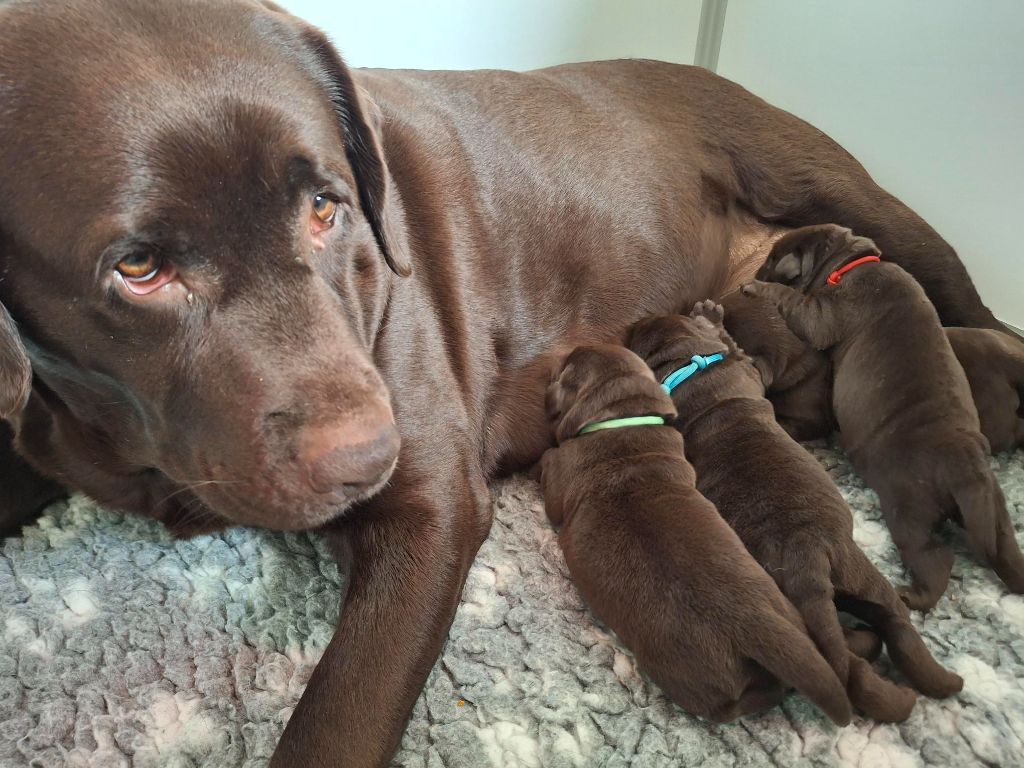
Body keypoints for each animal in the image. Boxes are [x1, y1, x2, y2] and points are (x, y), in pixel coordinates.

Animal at [540, 346, 851, 724]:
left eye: (565, 368)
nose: (558, 357)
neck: (624, 421)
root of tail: (753, 623)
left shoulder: (561, 478)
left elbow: (549, 464)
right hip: (786, 612)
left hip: (692, 681)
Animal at [622, 303, 958, 720]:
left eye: (645, 329)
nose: (633, 323)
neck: (685, 370)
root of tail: (804, 553)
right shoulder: (747, 370)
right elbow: (739, 351)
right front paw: (711, 316)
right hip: (855, 571)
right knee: (890, 630)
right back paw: (934, 686)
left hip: (828, 593)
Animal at [745, 225, 1024, 610]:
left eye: (772, 260)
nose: (756, 272)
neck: (851, 264)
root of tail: (967, 469)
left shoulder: (821, 315)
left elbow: (792, 299)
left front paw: (757, 288)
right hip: (996, 514)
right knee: (1005, 551)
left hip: (908, 510)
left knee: (936, 558)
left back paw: (909, 595)